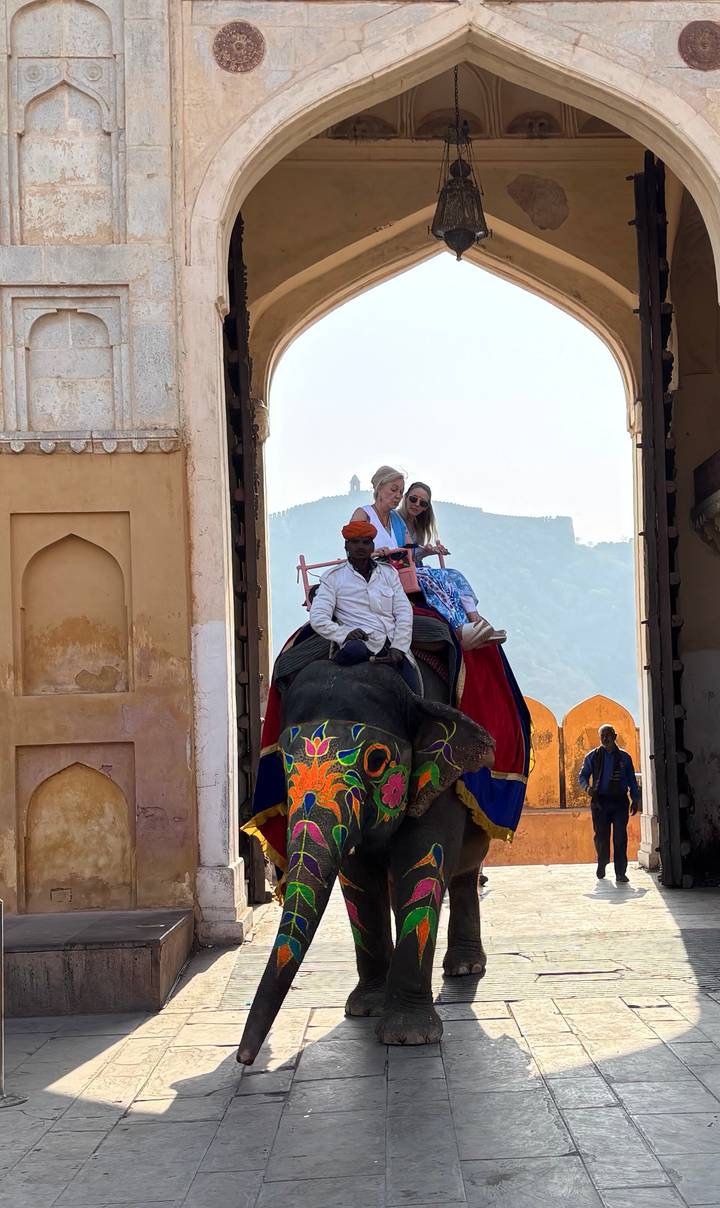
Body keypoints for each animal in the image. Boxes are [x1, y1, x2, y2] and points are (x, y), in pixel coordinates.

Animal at [237, 657, 495, 1064]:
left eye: (377, 760)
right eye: (281, 760)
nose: (245, 1058)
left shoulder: (438, 780)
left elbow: (424, 858)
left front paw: (408, 1037)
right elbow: (359, 879)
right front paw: (365, 1008)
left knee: (465, 872)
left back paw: (464, 968)